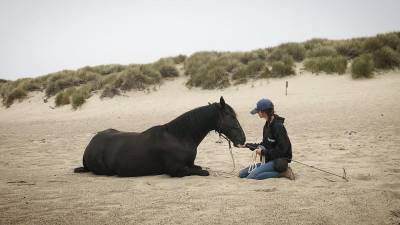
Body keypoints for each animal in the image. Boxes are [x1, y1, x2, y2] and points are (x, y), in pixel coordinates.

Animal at [73, 96, 245, 178]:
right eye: (231, 116)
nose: (242, 139)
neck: (178, 138)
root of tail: (90, 145)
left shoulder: (191, 164)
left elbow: (201, 168)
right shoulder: (177, 170)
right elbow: (204, 172)